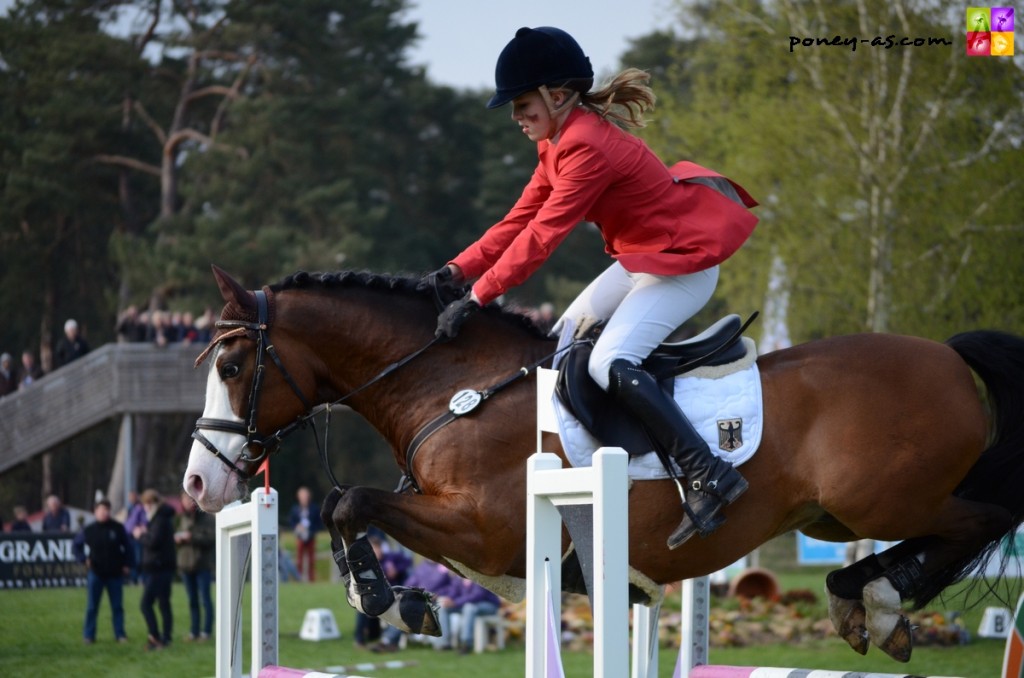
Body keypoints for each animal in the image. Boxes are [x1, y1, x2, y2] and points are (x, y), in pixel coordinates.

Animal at [182, 266, 1024, 663]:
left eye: (230, 363)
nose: (197, 483)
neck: (452, 388)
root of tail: (947, 355)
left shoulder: (485, 530)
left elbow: (348, 502)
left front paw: (386, 600)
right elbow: (346, 508)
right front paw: (396, 600)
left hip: (886, 500)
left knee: (984, 518)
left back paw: (877, 598)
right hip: (836, 515)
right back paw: (864, 597)